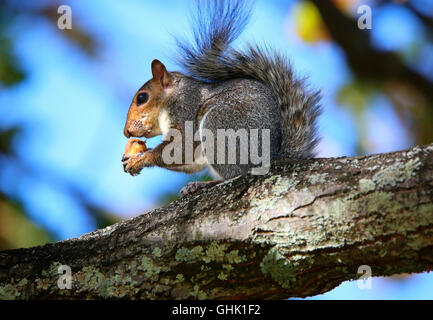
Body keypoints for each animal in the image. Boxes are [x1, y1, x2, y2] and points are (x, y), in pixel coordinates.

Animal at [121, 0, 320, 196]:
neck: (173, 97)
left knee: (234, 174)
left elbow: (182, 147)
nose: (126, 132)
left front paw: (140, 158)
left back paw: (207, 184)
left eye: (142, 98)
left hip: (220, 126)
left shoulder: (185, 108)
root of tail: (272, 158)